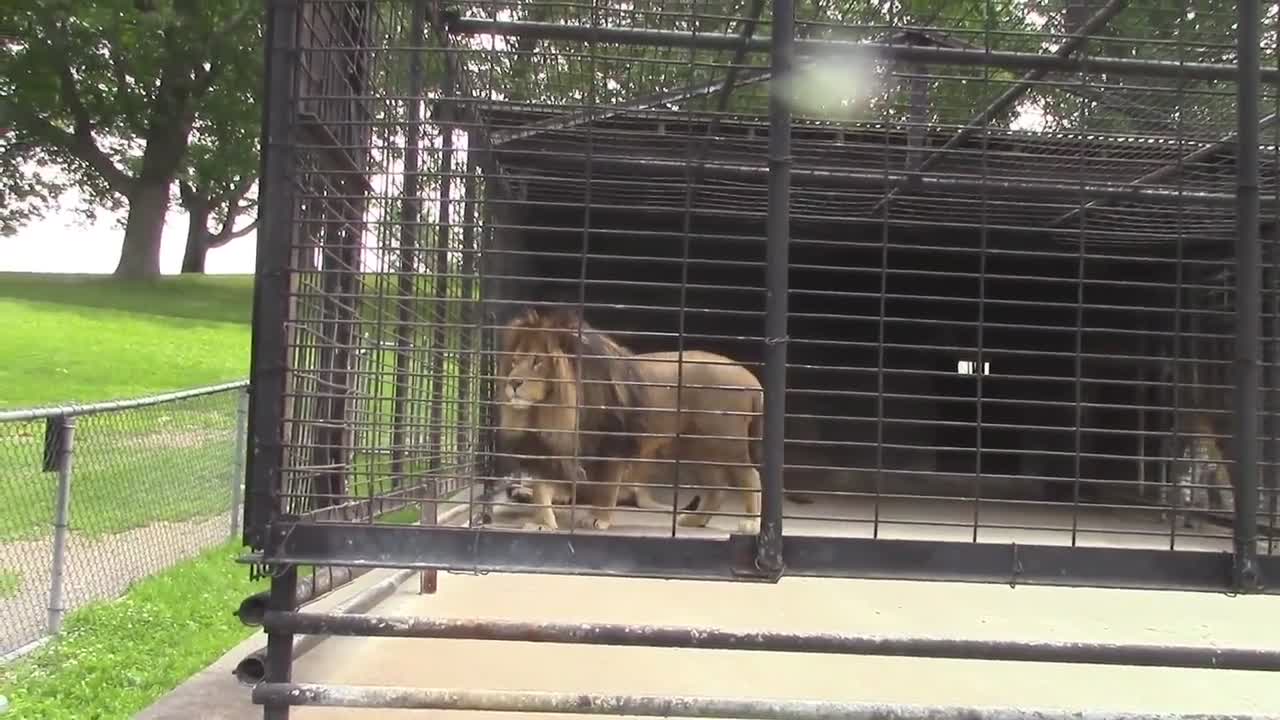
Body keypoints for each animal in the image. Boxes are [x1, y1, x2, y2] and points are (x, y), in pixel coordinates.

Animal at [494, 303, 757, 532]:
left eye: (538, 361)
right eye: (514, 362)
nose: (512, 383)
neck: (552, 408)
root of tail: (751, 378)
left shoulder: (612, 445)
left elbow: (607, 488)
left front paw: (598, 519)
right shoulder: (546, 448)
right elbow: (541, 490)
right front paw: (542, 523)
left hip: (725, 443)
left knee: (751, 476)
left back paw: (751, 523)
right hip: (695, 446)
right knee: (717, 487)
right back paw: (694, 521)